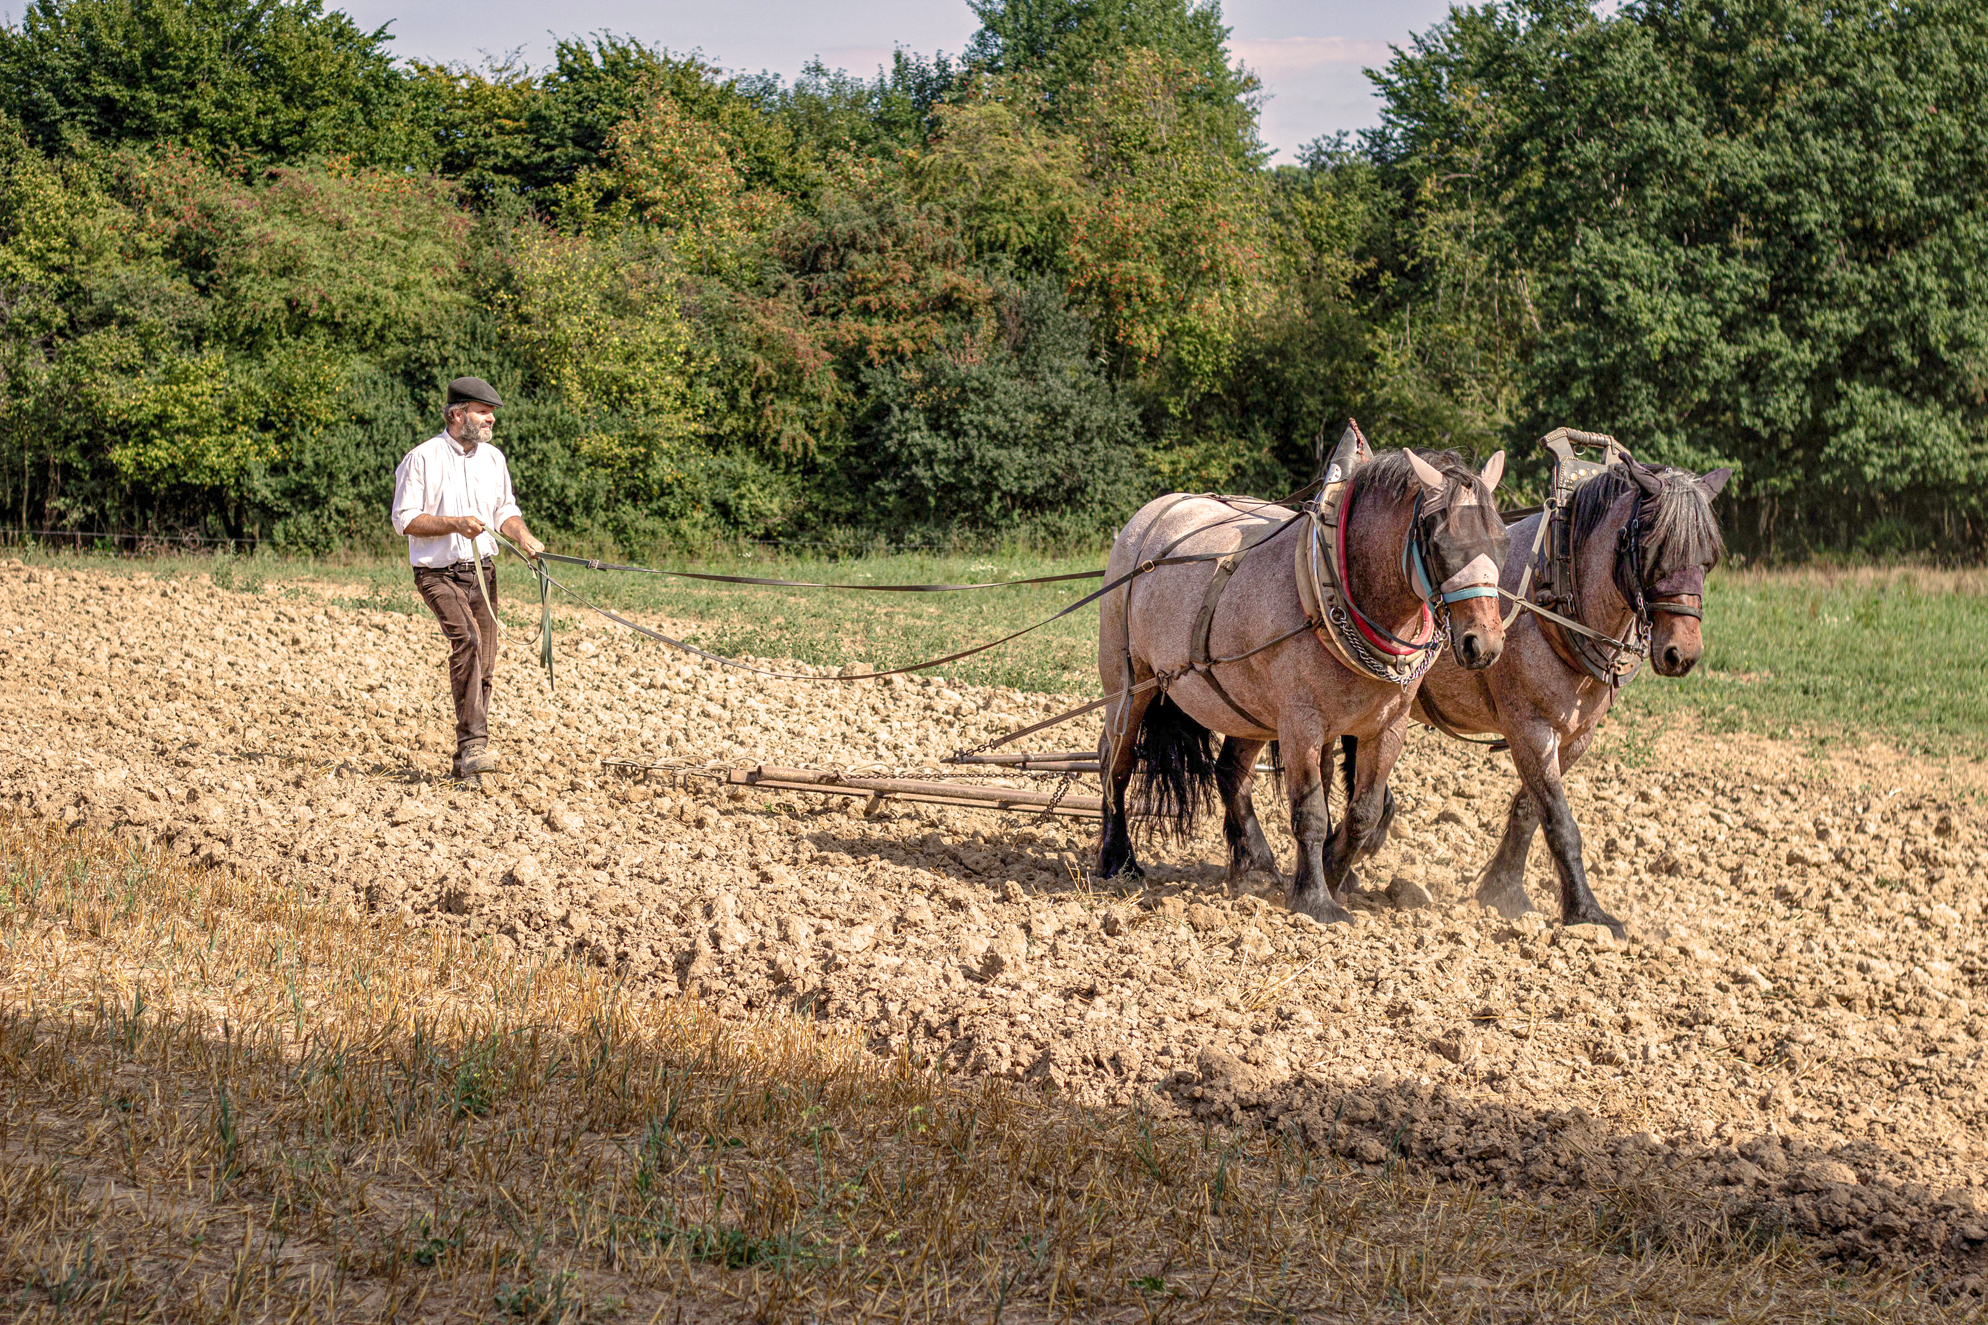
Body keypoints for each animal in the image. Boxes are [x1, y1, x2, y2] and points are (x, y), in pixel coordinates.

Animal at [1105, 441, 1502, 919]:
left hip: (1247, 708)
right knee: (1116, 763)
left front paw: (1333, 873)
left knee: (1231, 771)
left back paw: (1255, 865)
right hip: (1128, 685)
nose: (1485, 643)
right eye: (1440, 542)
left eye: (1501, 539)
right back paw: (1119, 861)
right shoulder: (1300, 724)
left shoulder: (1387, 727)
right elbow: (1311, 812)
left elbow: (1363, 812)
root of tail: (1152, 512)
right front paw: (1316, 900)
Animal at [1415, 449, 1725, 935]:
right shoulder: (1529, 728)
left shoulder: (1575, 735)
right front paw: (1587, 913)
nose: (1683, 654)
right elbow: (1561, 822)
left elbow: (1531, 809)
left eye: (1708, 558)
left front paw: (1504, 893)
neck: (1553, 593)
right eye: (1654, 549)